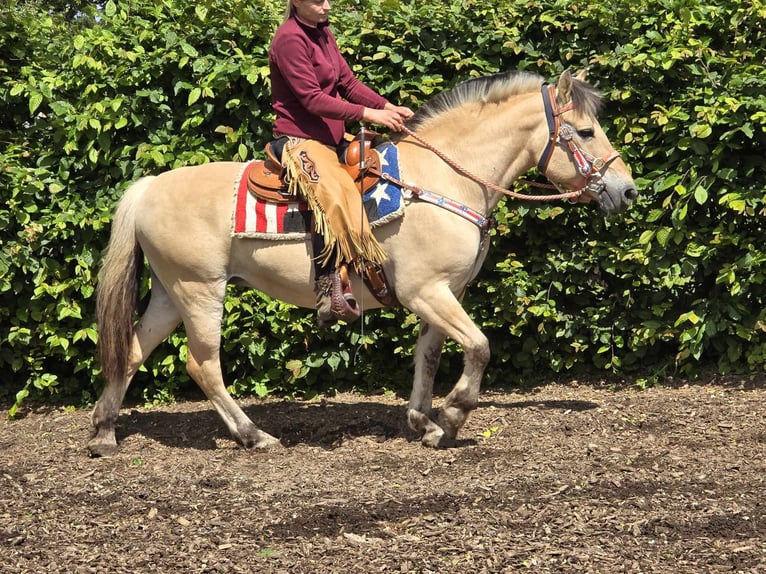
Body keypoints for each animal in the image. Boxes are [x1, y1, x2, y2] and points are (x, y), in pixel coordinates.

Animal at [90, 71, 640, 460]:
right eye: (585, 131)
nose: (628, 191)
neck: (441, 179)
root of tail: (149, 187)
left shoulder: (445, 293)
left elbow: (428, 356)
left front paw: (424, 423)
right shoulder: (426, 291)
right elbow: (480, 347)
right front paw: (453, 416)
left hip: (170, 292)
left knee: (131, 351)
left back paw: (103, 431)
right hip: (201, 289)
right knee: (202, 364)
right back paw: (254, 435)